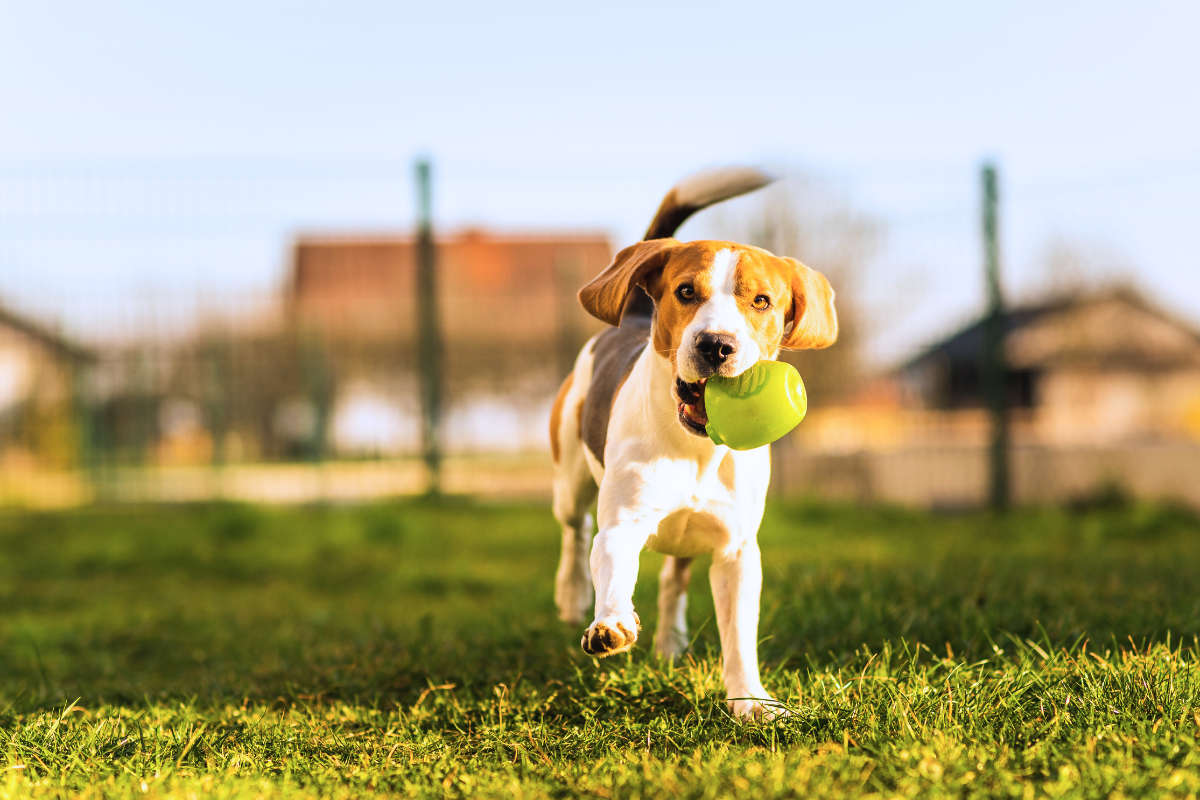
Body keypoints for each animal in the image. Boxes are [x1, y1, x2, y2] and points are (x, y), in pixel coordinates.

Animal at [549, 167, 840, 719]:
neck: (699, 448)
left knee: (672, 583)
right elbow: (612, 565)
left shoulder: (737, 550)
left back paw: (669, 643)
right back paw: (572, 595)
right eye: (685, 291)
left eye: (762, 301)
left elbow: (739, 636)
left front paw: (751, 702)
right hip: (570, 476)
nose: (716, 345)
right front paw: (610, 624)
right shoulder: (623, 523)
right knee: (574, 533)